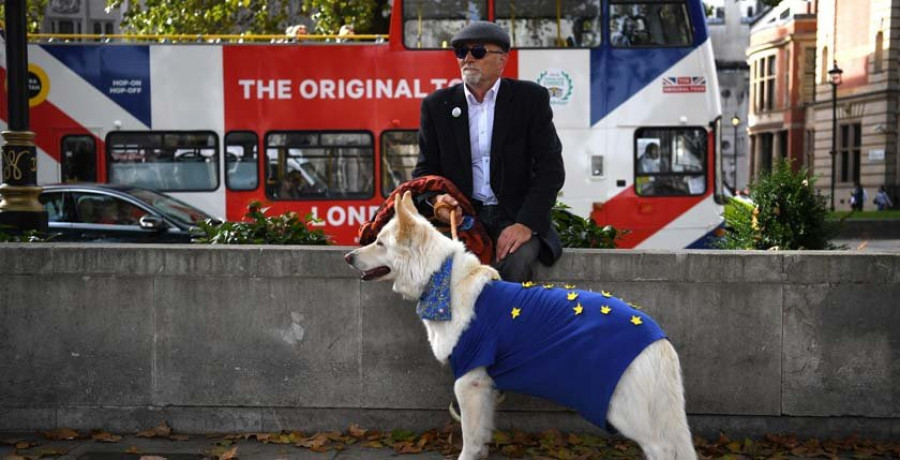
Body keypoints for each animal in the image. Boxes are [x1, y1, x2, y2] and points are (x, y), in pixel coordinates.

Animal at [344, 192, 696, 458]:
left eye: (379, 243)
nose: (348, 257)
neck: (440, 278)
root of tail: (656, 334)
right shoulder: (484, 387)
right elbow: (481, 437)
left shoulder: (469, 382)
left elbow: (469, 440)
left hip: (626, 411)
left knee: (663, 448)